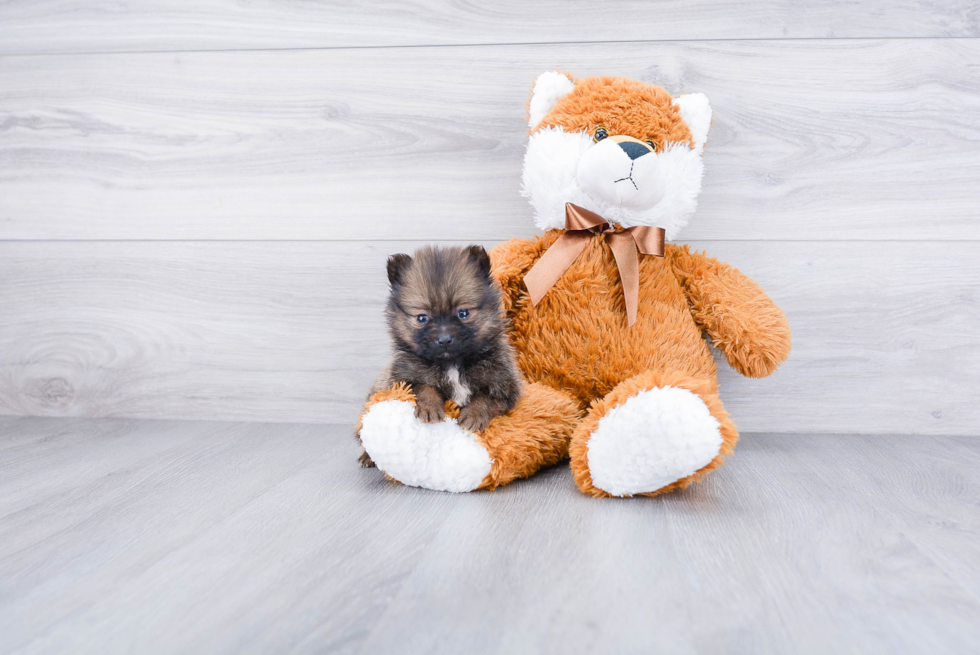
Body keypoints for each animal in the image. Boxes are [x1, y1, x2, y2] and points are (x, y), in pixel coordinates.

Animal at [360, 245, 524, 466]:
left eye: (463, 313)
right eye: (422, 318)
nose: (445, 339)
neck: (451, 363)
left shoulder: (505, 386)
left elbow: (485, 397)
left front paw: (473, 414)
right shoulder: (401, 380)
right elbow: (424, 386)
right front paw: (429, 407)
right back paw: (367, 456)